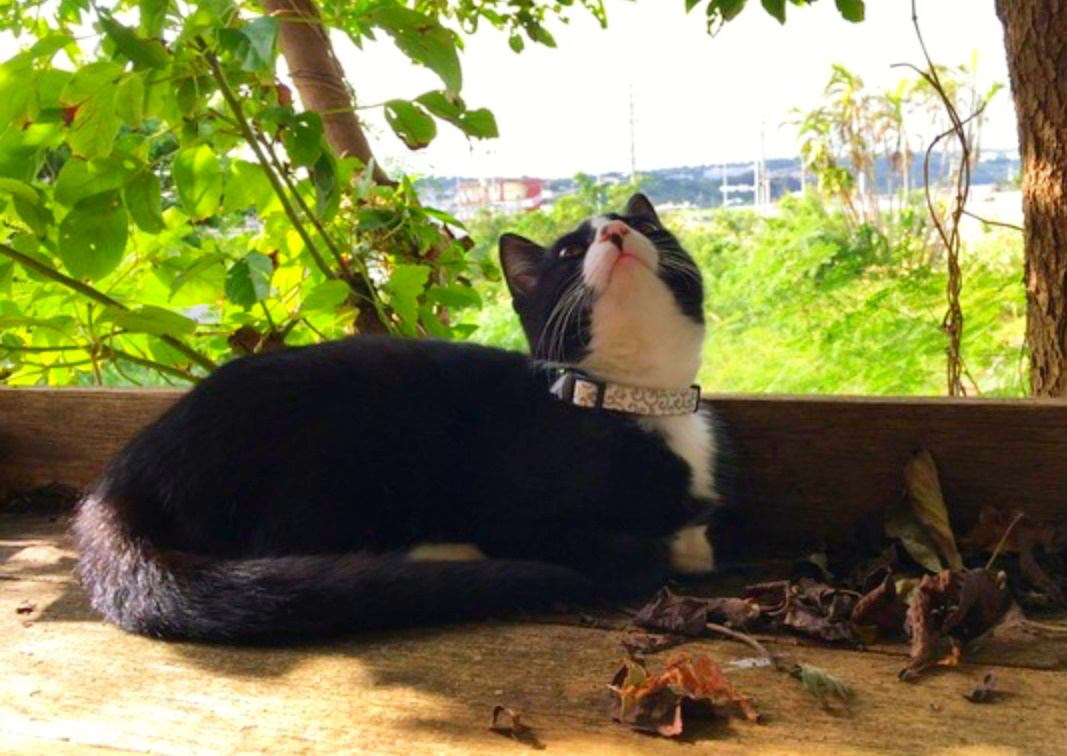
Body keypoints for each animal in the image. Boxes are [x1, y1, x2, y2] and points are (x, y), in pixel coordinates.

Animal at [73, 191, 725, 639]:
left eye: (646, 226)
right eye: (570, 250)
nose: (616, 230)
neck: (630, 395)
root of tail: (120, 481)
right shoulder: (520, 516)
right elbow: (646, 554)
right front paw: (669, 545)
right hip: (325, 451)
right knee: (280, 550)